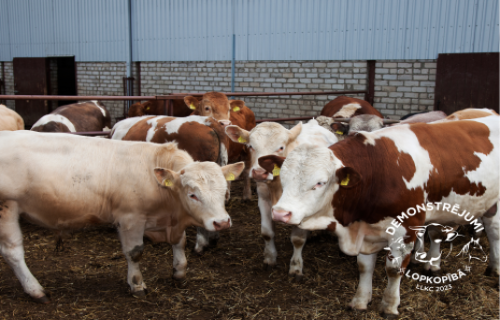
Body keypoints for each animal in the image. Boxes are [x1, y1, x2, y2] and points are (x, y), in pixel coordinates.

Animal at [0, 131, 244, 304]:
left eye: (225, 192)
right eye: (193, 195)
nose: (222, 222)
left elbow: (180, 242)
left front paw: (179, 271)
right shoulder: (130, 218)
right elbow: (135, 253)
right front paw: (136, 285)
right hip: (7, 207)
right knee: (13, 252)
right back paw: (35, 290)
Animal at [260, 115, 498, 318]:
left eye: (320, 182)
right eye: (284, 178)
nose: (280, 213)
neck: (377, 172)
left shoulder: (406, 228)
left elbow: (393, 269)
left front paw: (390, 305)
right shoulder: (366, 229)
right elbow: (364, 266)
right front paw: (360, 301)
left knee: (493, 233)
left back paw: (494, 268)